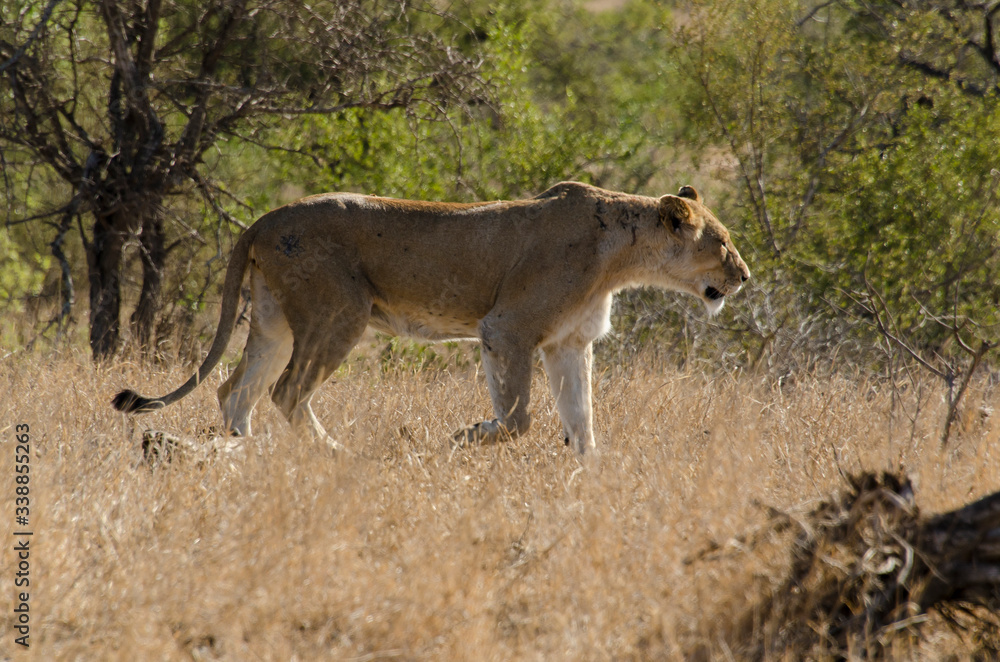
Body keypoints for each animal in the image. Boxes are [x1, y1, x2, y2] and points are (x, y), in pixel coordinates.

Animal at [113, 182, 750, 454]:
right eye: (720, 243)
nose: (744, 275)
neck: (619, 257)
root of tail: (263, 218)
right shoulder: (507, 328)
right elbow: (517, 418)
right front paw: (465, 436)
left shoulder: (570, 343)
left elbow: (582, 418)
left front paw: (588, 473)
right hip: (338, 314)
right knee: (286, 392)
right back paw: (333, 453)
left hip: (273, 322)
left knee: (234, 391)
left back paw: (244, 454)